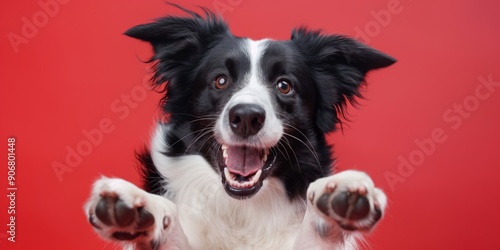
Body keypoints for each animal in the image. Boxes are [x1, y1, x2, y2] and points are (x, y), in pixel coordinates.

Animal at [85, 6, 394, 250]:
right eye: (220, 80)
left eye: (284, 85)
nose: (246, 117)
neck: (241, 210)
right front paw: (140, 205)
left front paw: (341, 195)